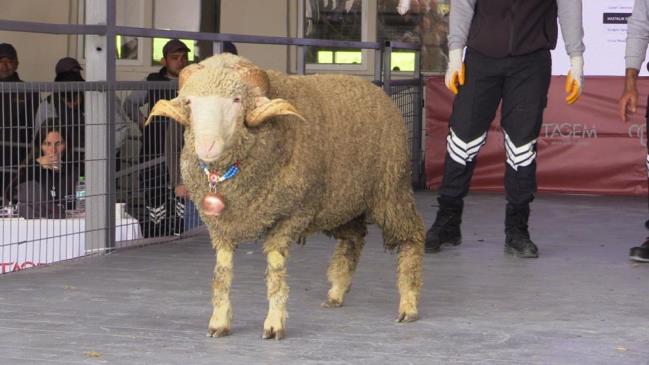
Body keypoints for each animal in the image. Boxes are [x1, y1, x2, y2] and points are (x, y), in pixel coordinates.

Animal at [144, 53, 422, 338]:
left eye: (237, 100)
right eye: (189, 101)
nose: (207, 145)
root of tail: (377, 92)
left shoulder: (293, 214)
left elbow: (276, 270)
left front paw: (274, 323)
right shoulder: (221, 227)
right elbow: (222, 274)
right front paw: (219, 322)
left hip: (390, 190)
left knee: (411, 235)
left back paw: (408, 304)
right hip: (342, 201)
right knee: (353, 239)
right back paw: (336, 292)